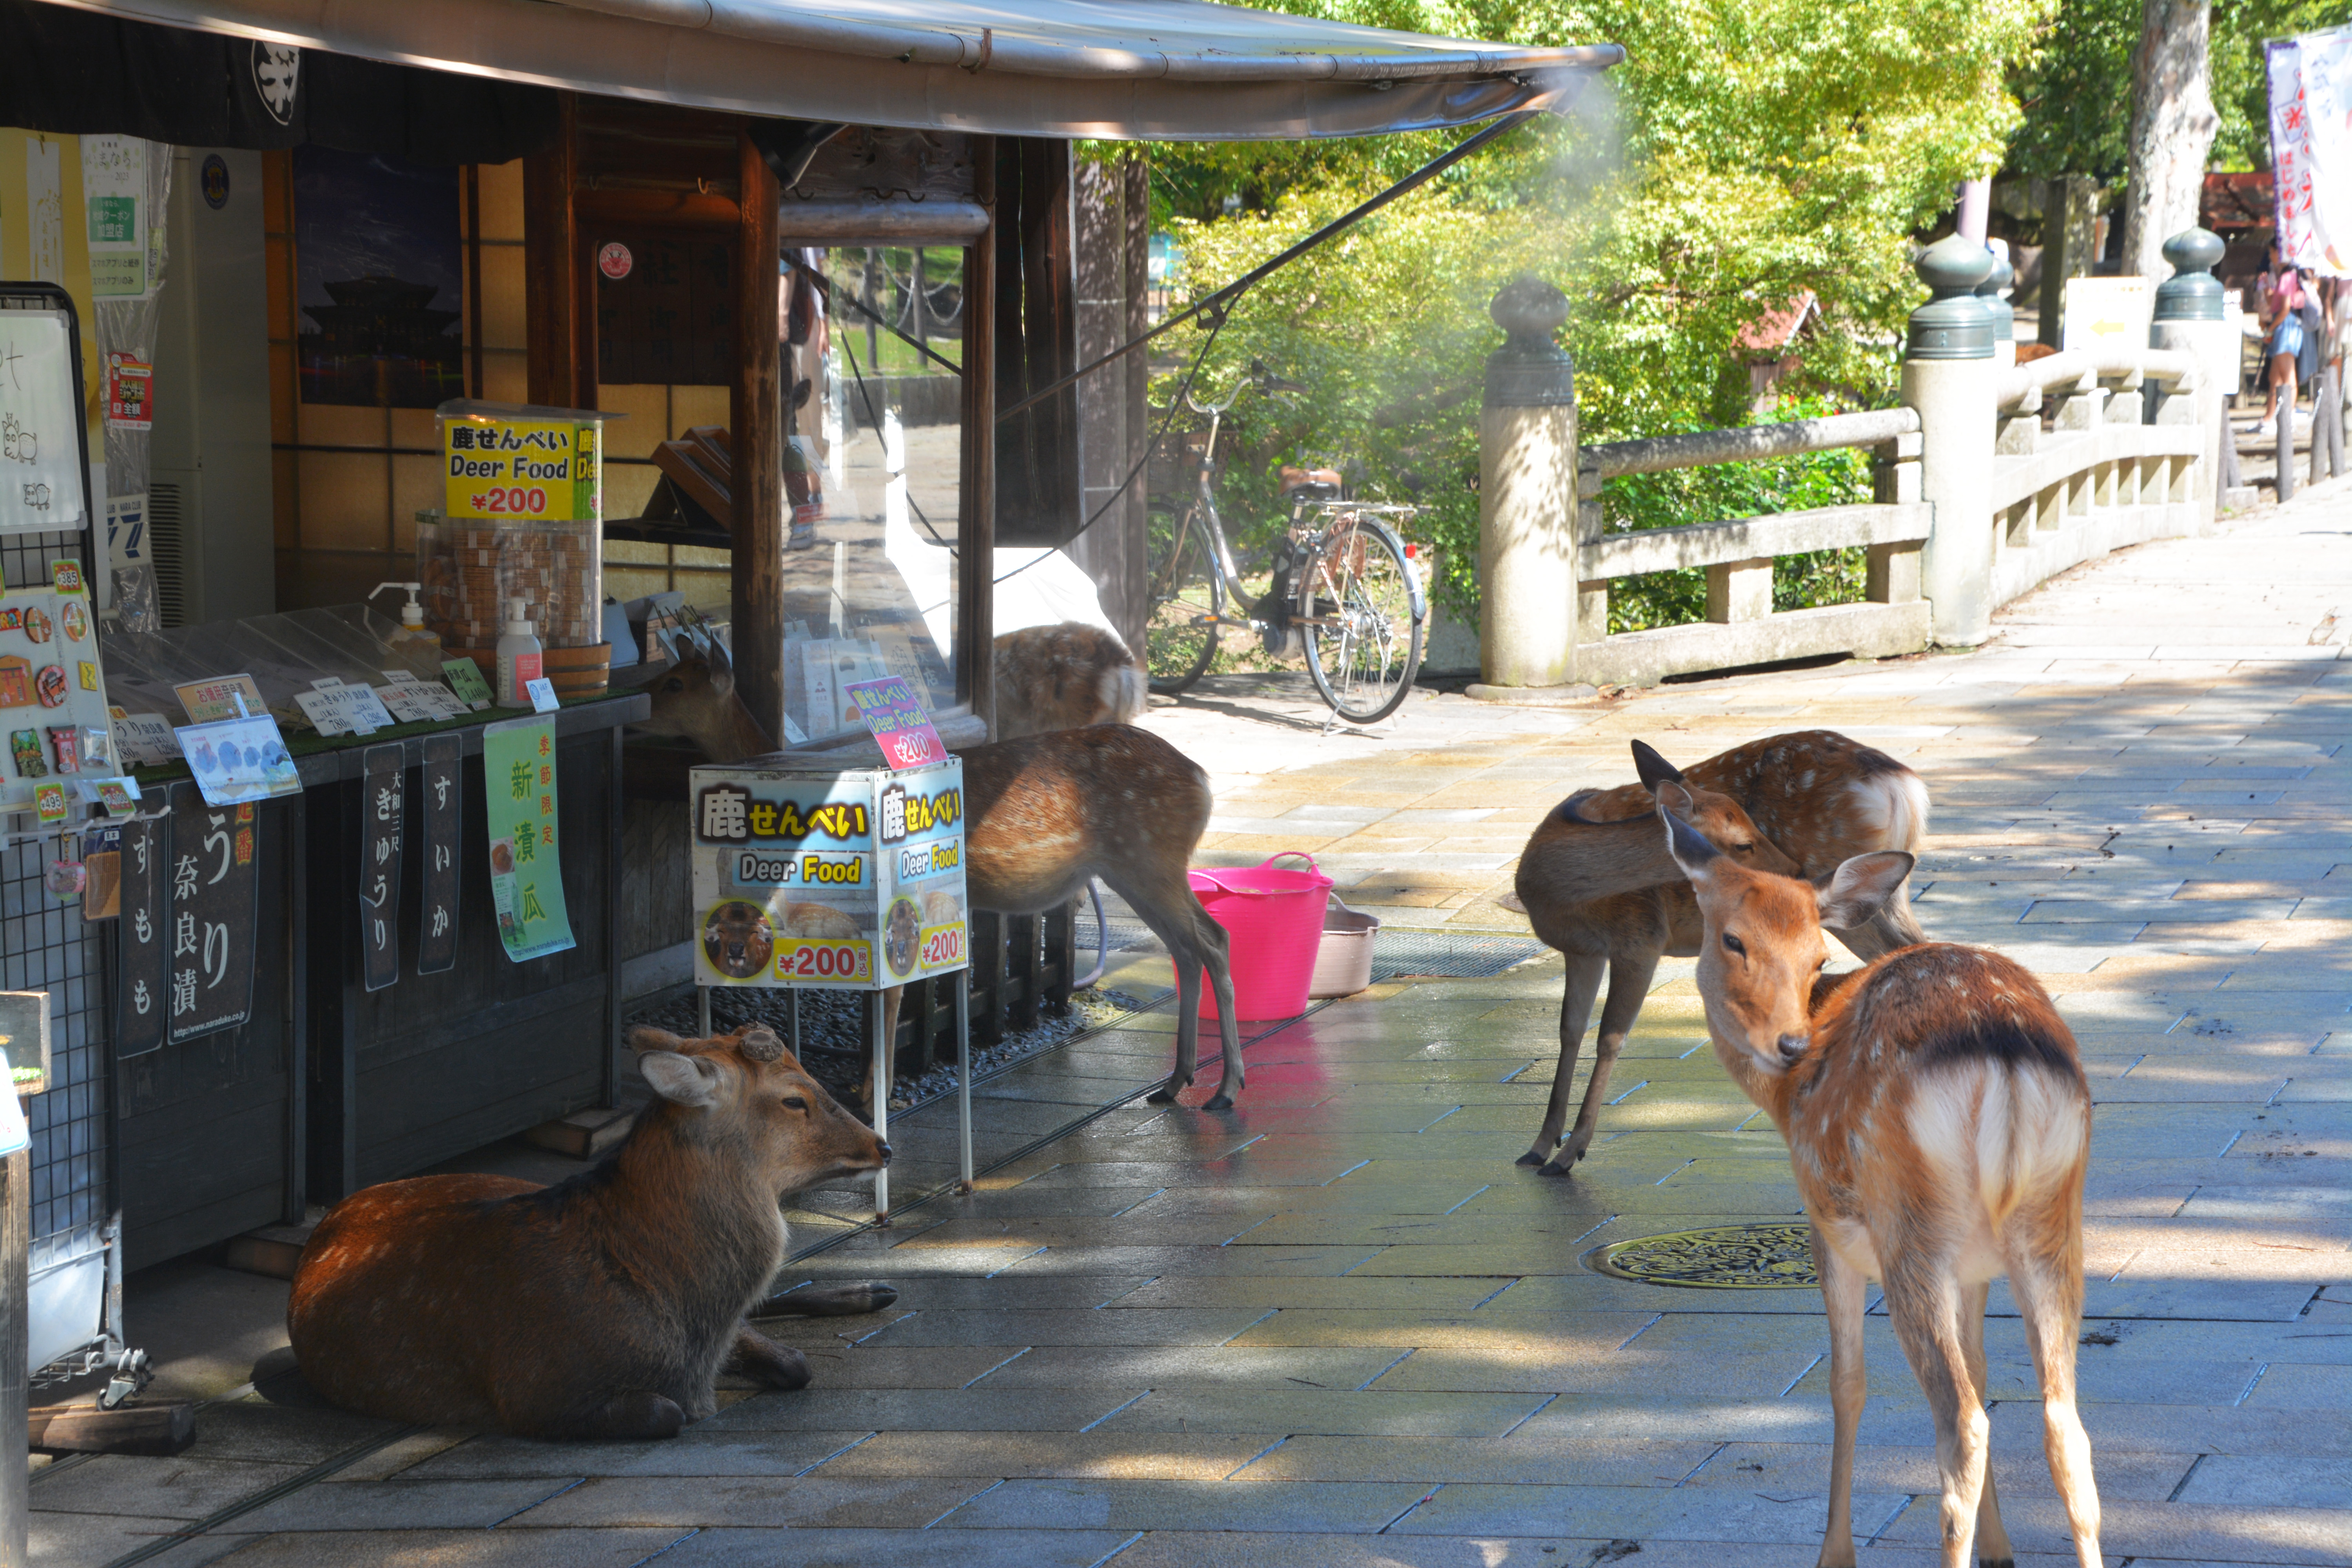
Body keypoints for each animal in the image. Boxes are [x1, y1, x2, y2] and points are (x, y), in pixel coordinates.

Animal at [286, 1024, 889, 1439]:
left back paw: (874, 1289)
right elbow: (666, 1411)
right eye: (794, 1099)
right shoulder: (534, 1391)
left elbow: (796, 1362)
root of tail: (331, 1218)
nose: (882, 1145)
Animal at [1511, 732, 1931, 1176]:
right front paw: (1540, 1145)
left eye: (1752, 821)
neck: (1554, 893)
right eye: (1743, 841)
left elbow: (1610, 1037)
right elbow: (1570, 1031)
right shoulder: (1583, 950)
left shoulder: (1641, 934)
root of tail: (1903, 786)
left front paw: (1570, 1152)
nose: (1794, 873)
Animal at [1659, 802, 2099, 1568]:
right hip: (2051, 1223)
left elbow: (1847, 1383)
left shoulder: (1825, 1226)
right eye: (1735, 940)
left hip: (1908, 1232)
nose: (1791, 1046)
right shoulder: (1974, 1267)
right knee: (2064, 1424)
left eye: (1817, 956)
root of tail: (2006, 1061)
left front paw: (1834, 1553)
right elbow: (1983, 1367)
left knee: (1961, 1424)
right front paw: (2001, 1548)